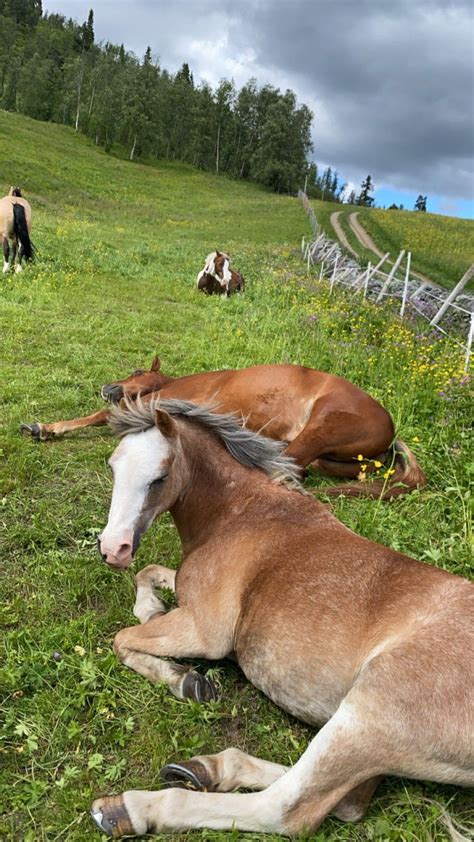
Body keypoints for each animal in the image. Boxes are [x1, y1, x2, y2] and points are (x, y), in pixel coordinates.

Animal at [19, 356, 426, 498]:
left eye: (136, 370)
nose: (108, 386)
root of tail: (390, 434)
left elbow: (104, 416)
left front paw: (45, 427)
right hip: (328, 456)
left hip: (322, 425)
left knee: (287, 471)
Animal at [90, 398, 474, 832]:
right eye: (113, 467)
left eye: (160, 476)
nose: (113, 549)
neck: (238, 513)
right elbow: (149, 575)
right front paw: (158, 622)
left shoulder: (203, 632)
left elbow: (122, 638)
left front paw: (184, 680)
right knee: (347, 799)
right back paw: (207, 768)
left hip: (363, 717)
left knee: (287, 809)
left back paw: (131, 809)